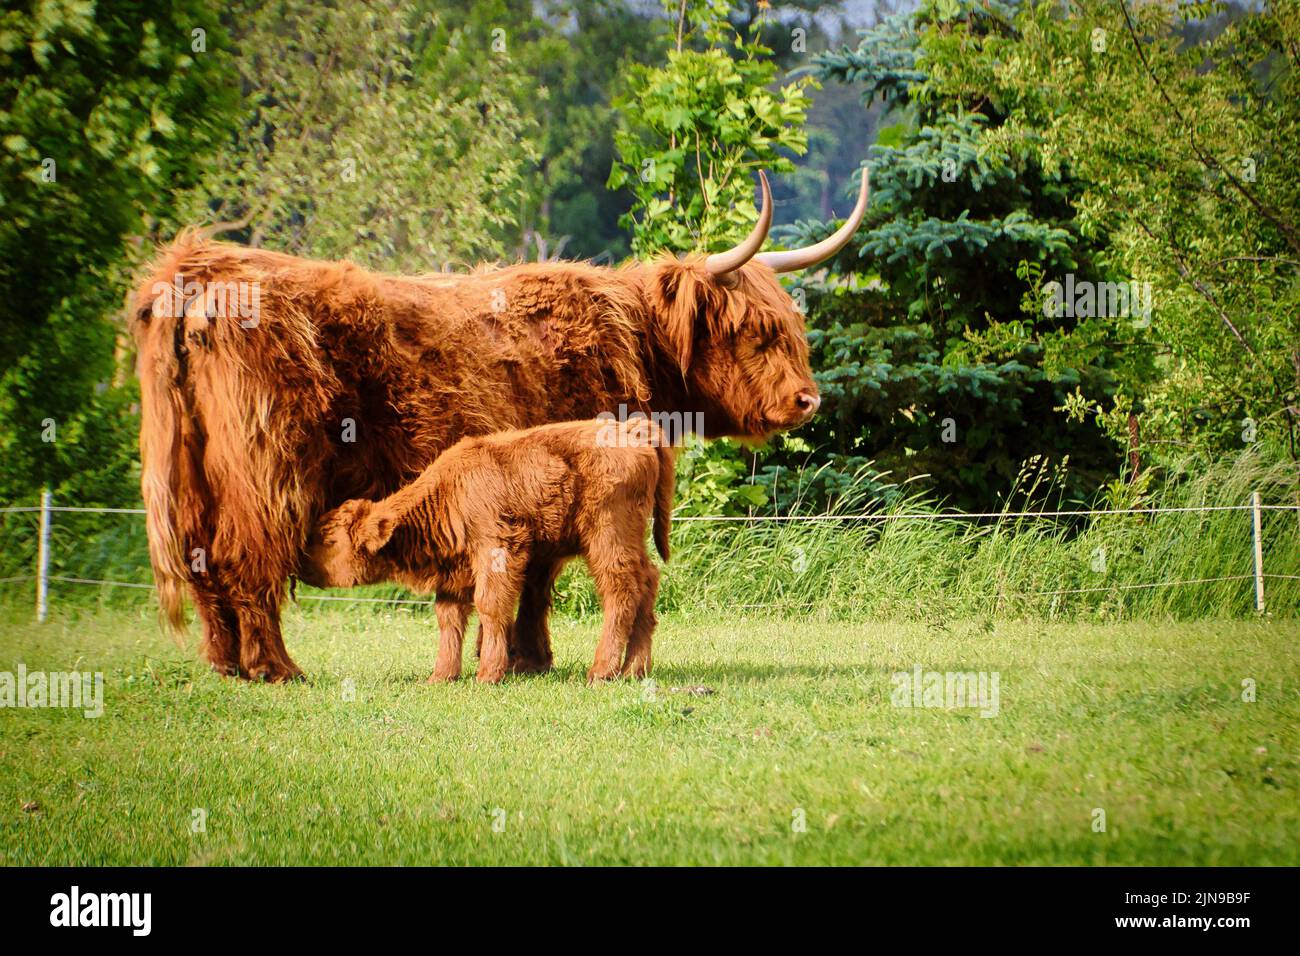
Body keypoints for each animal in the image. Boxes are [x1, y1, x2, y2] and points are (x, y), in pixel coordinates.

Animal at [298, 417, 675, 684]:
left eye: (329, 539)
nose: (299, 563)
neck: (449, 492)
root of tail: (633, 431)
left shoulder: (498, 550)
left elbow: (490, 607)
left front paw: (488, 674)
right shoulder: (454, 572)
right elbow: (449, 619)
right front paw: (440, 676)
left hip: (607, 536)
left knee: (620, 589)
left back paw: (601, 671)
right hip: (629, 540)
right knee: (647, 581)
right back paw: (634, 669)